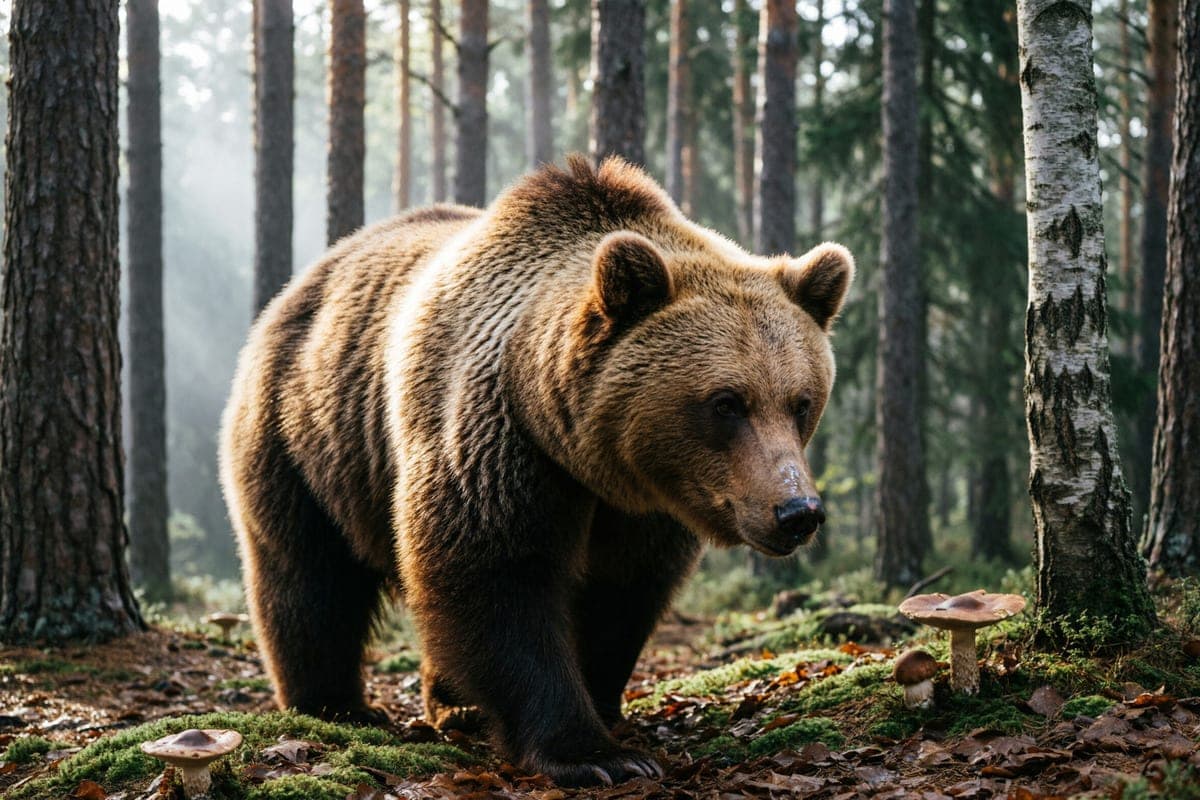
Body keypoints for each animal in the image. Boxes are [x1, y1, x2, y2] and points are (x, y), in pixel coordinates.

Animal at [219, 155, 854, 787]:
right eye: (726, 402)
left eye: (800, 401)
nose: (797, 512)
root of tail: (303, 281)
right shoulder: (498, 443)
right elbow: (497, 578)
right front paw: (594, 754)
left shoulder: (646, 507)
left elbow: (623, 593)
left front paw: (604, 707)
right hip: (307, 436)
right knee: (307, 577)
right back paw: (337, 705)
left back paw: (453, 705)